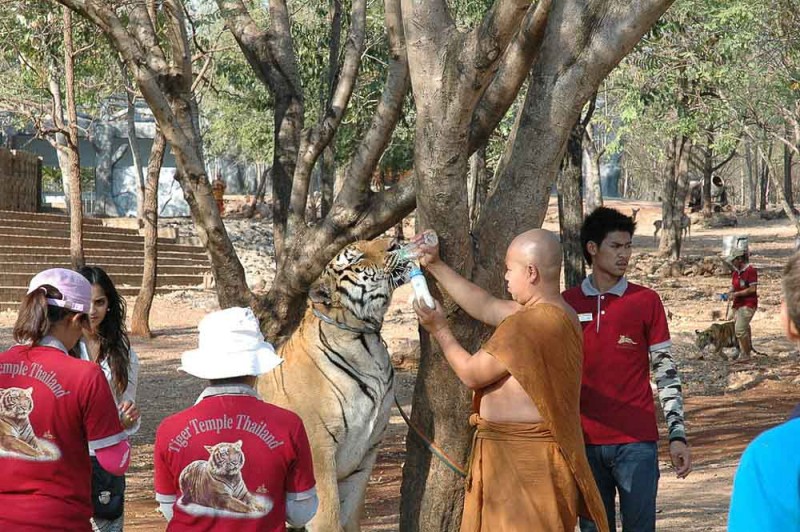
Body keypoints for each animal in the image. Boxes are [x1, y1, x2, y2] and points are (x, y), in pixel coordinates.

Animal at [260, 238, 416, 532]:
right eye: (356, 259)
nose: (394, 242)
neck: (365, 339)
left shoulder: (366, 454)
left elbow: (351, 515)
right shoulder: (319, 451)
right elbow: (328, 518)